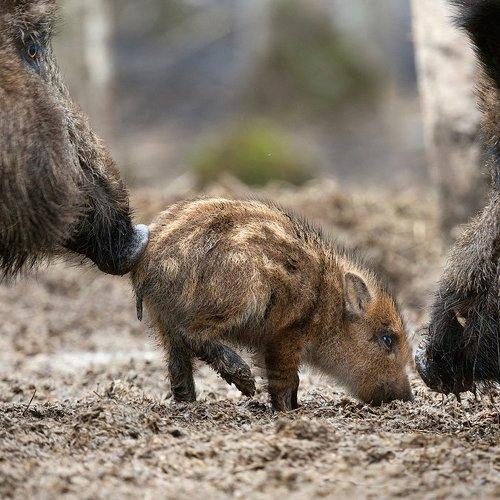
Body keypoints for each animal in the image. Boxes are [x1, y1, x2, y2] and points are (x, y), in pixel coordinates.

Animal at [131, 198, 414, 410]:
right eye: (387, 338)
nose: (408, 398)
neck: (328, 306)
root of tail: (151, 259)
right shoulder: (286, 334)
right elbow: (285, 379)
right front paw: (288, 412)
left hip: (161, 316)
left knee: (177, 364)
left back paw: (188, 404)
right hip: (235, 297)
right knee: (192, 334)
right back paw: (245, 383)